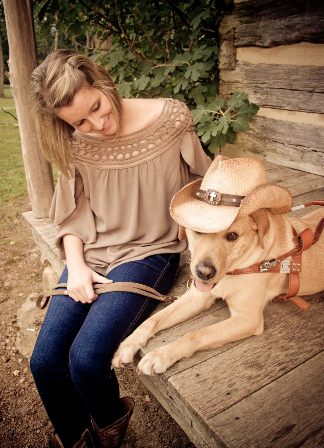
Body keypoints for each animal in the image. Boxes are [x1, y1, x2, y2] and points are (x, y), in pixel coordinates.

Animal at [112, 157, 324, 374]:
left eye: (232, 236)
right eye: (197, 231)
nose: (203, 273)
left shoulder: (247, 318)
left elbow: (196, 334)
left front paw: (160, 356)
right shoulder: (198, 297)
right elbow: (154, 319)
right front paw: (128, 344)